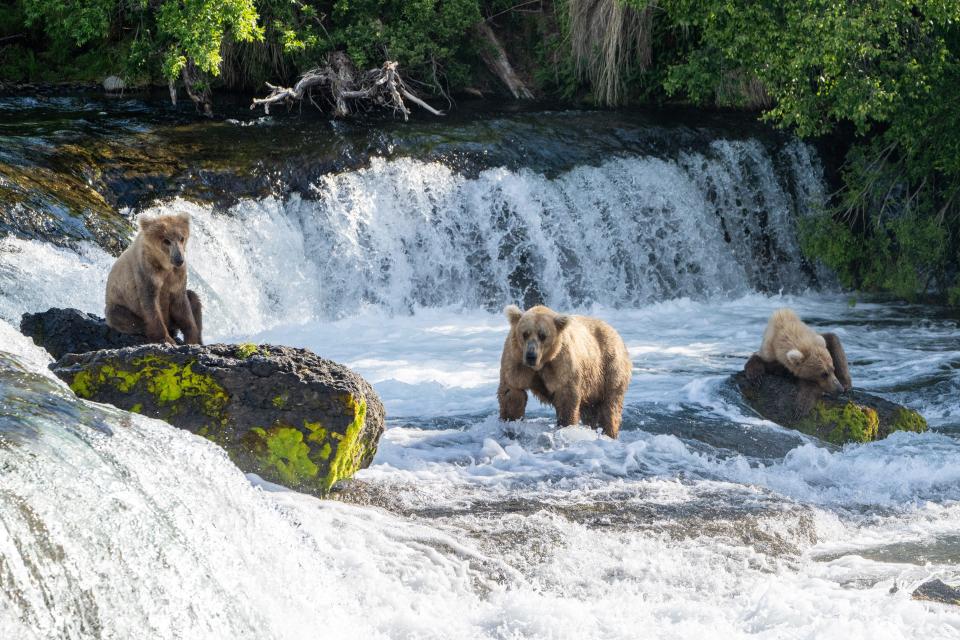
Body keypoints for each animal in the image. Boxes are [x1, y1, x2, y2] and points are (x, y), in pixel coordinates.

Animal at [104, 214, 202, 344]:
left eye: (182, 238)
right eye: (166, 240)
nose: (179, 259)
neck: (164, 265)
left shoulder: (177, 276)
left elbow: (182, 305)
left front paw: (192, 339)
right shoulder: (147, 272)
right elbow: (151, 304)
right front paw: (166, 339)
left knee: (194, 299)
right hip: (119, 305)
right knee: (120, 316)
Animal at [498, 304, 632, 440]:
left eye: (543, 335)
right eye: (525, 333)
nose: (531, 356)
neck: (541, 363)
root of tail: (614, 331)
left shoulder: (561, 363)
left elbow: (566, 397)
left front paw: (566, 426)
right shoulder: (516, 360)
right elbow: (512, 392)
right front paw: (510, 420)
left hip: (608, 366)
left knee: (610, 406)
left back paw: (609, 433)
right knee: (591, 411)